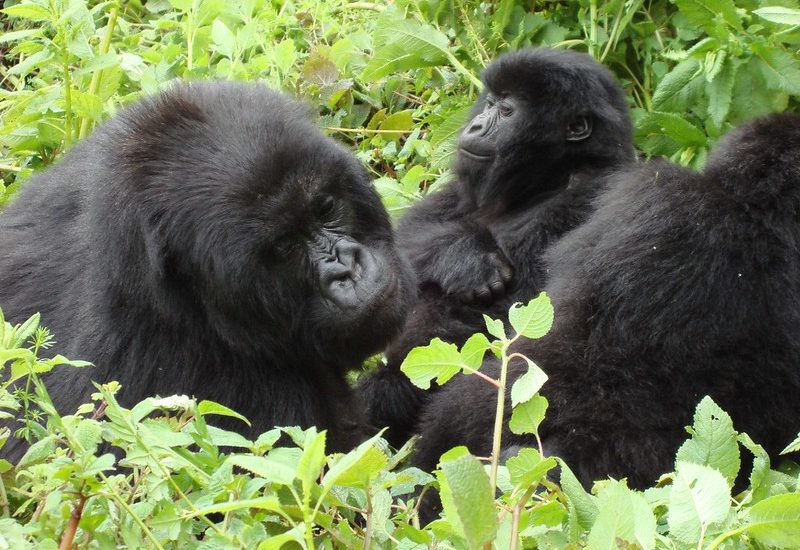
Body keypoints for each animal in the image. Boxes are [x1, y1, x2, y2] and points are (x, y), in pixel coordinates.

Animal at [360, 48, 636, 448]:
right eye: (489, 103)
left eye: (507, 112)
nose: (475, 126)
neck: (552, 177)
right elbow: (407, 239)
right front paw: (466, 261)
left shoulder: (595, 191)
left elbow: (532, 318)